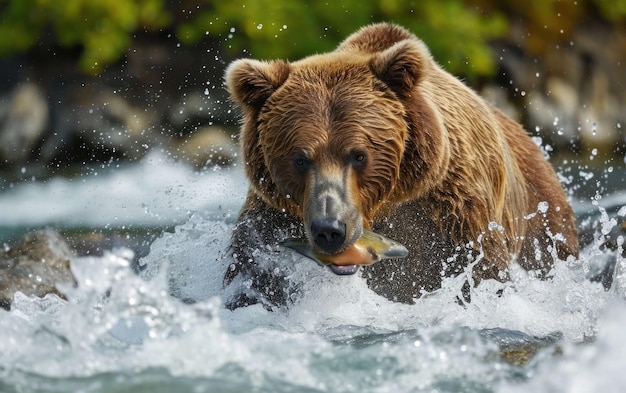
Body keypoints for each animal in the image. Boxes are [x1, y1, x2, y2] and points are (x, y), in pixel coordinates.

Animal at [222, 22, 576, 310]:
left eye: (359, 155)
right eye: (300, 158)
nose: (329, 229)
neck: (389, 203)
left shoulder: (455, 212)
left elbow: (483, 272)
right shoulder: (271, 219)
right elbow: (248, 273)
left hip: (540, 216)